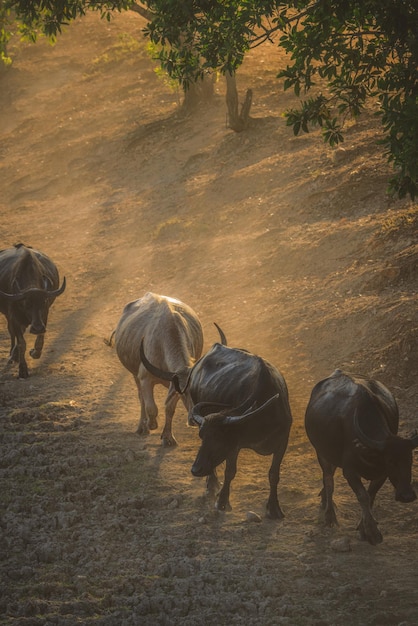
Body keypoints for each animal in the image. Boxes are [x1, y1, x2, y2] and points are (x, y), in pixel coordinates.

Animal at [0, 243, 65, 378]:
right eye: (26, 303)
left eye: (44, 302)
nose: (37, 328)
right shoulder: (14, 317)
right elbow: (21, 343)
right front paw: (23, 369)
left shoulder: (44, 315)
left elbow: (40, 338)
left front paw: (35, 353)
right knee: (12, 333)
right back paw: (12, 356)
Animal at [110, 292, 203, 444]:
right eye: (185, 393)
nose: (194, 420)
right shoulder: (145, 378)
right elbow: (151, 407)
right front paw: (151, 424)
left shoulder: (173, 383)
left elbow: (169, 408)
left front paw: (168, 437)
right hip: (135, 375)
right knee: (141, 398)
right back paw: (142, 427)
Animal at [304, 368, 418, 544]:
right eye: (390, 461)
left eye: (410, 460)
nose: (407, 496)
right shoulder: (350, 471)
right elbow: (362, 496)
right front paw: (372, 532)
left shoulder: (382, 473)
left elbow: (370, 496)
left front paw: (364, 528)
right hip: (322, 453)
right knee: (329, 480)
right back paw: (329, 515)